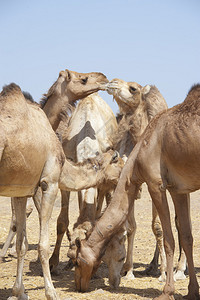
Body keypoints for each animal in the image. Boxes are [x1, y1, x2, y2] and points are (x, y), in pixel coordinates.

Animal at [0, 82, 124, 300]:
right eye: (119, 163)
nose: (129, 174)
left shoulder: (22, 189)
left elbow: (22, 241)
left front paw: (19, 291)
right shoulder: (49, 183)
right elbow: (44, 242)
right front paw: (51, 291)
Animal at [73, 82, 200, 300]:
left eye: (77, 260)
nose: (78, 284)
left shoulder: (156, 184)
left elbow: (168, 238)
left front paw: (167, 290)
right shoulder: (179, 190)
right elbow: (186, 236)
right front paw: (192, 291)